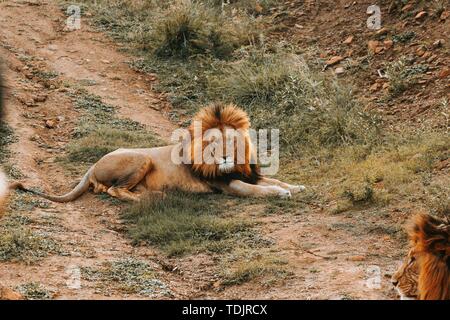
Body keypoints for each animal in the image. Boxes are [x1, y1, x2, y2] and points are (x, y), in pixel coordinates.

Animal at [14, 104, 306, 201]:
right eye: (212, 144)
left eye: (231, 143)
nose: (223, 158)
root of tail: (92, 165)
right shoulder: (228, 185)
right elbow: (257, 190)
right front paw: (281, 194)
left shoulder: (248, 174)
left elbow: (273, 179)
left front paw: (296, 187)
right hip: (142, 158)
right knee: (114, 191)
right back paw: (152, 197)